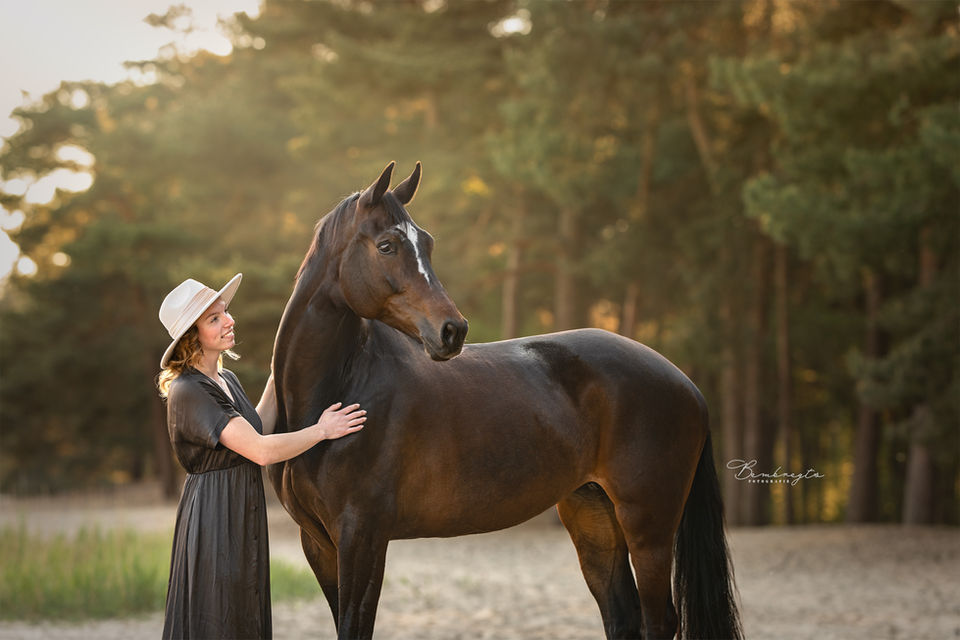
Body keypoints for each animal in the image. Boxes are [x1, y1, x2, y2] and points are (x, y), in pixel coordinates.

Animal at [268, 162, 742, 640]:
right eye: (386, 245)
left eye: (428, 243)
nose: (452, 330)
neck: (335, 391)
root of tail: (685, 383)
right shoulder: (320, 543)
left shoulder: (363, 537)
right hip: (594, 516)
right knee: (621, 614)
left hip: (649, 528)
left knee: (659, 619)